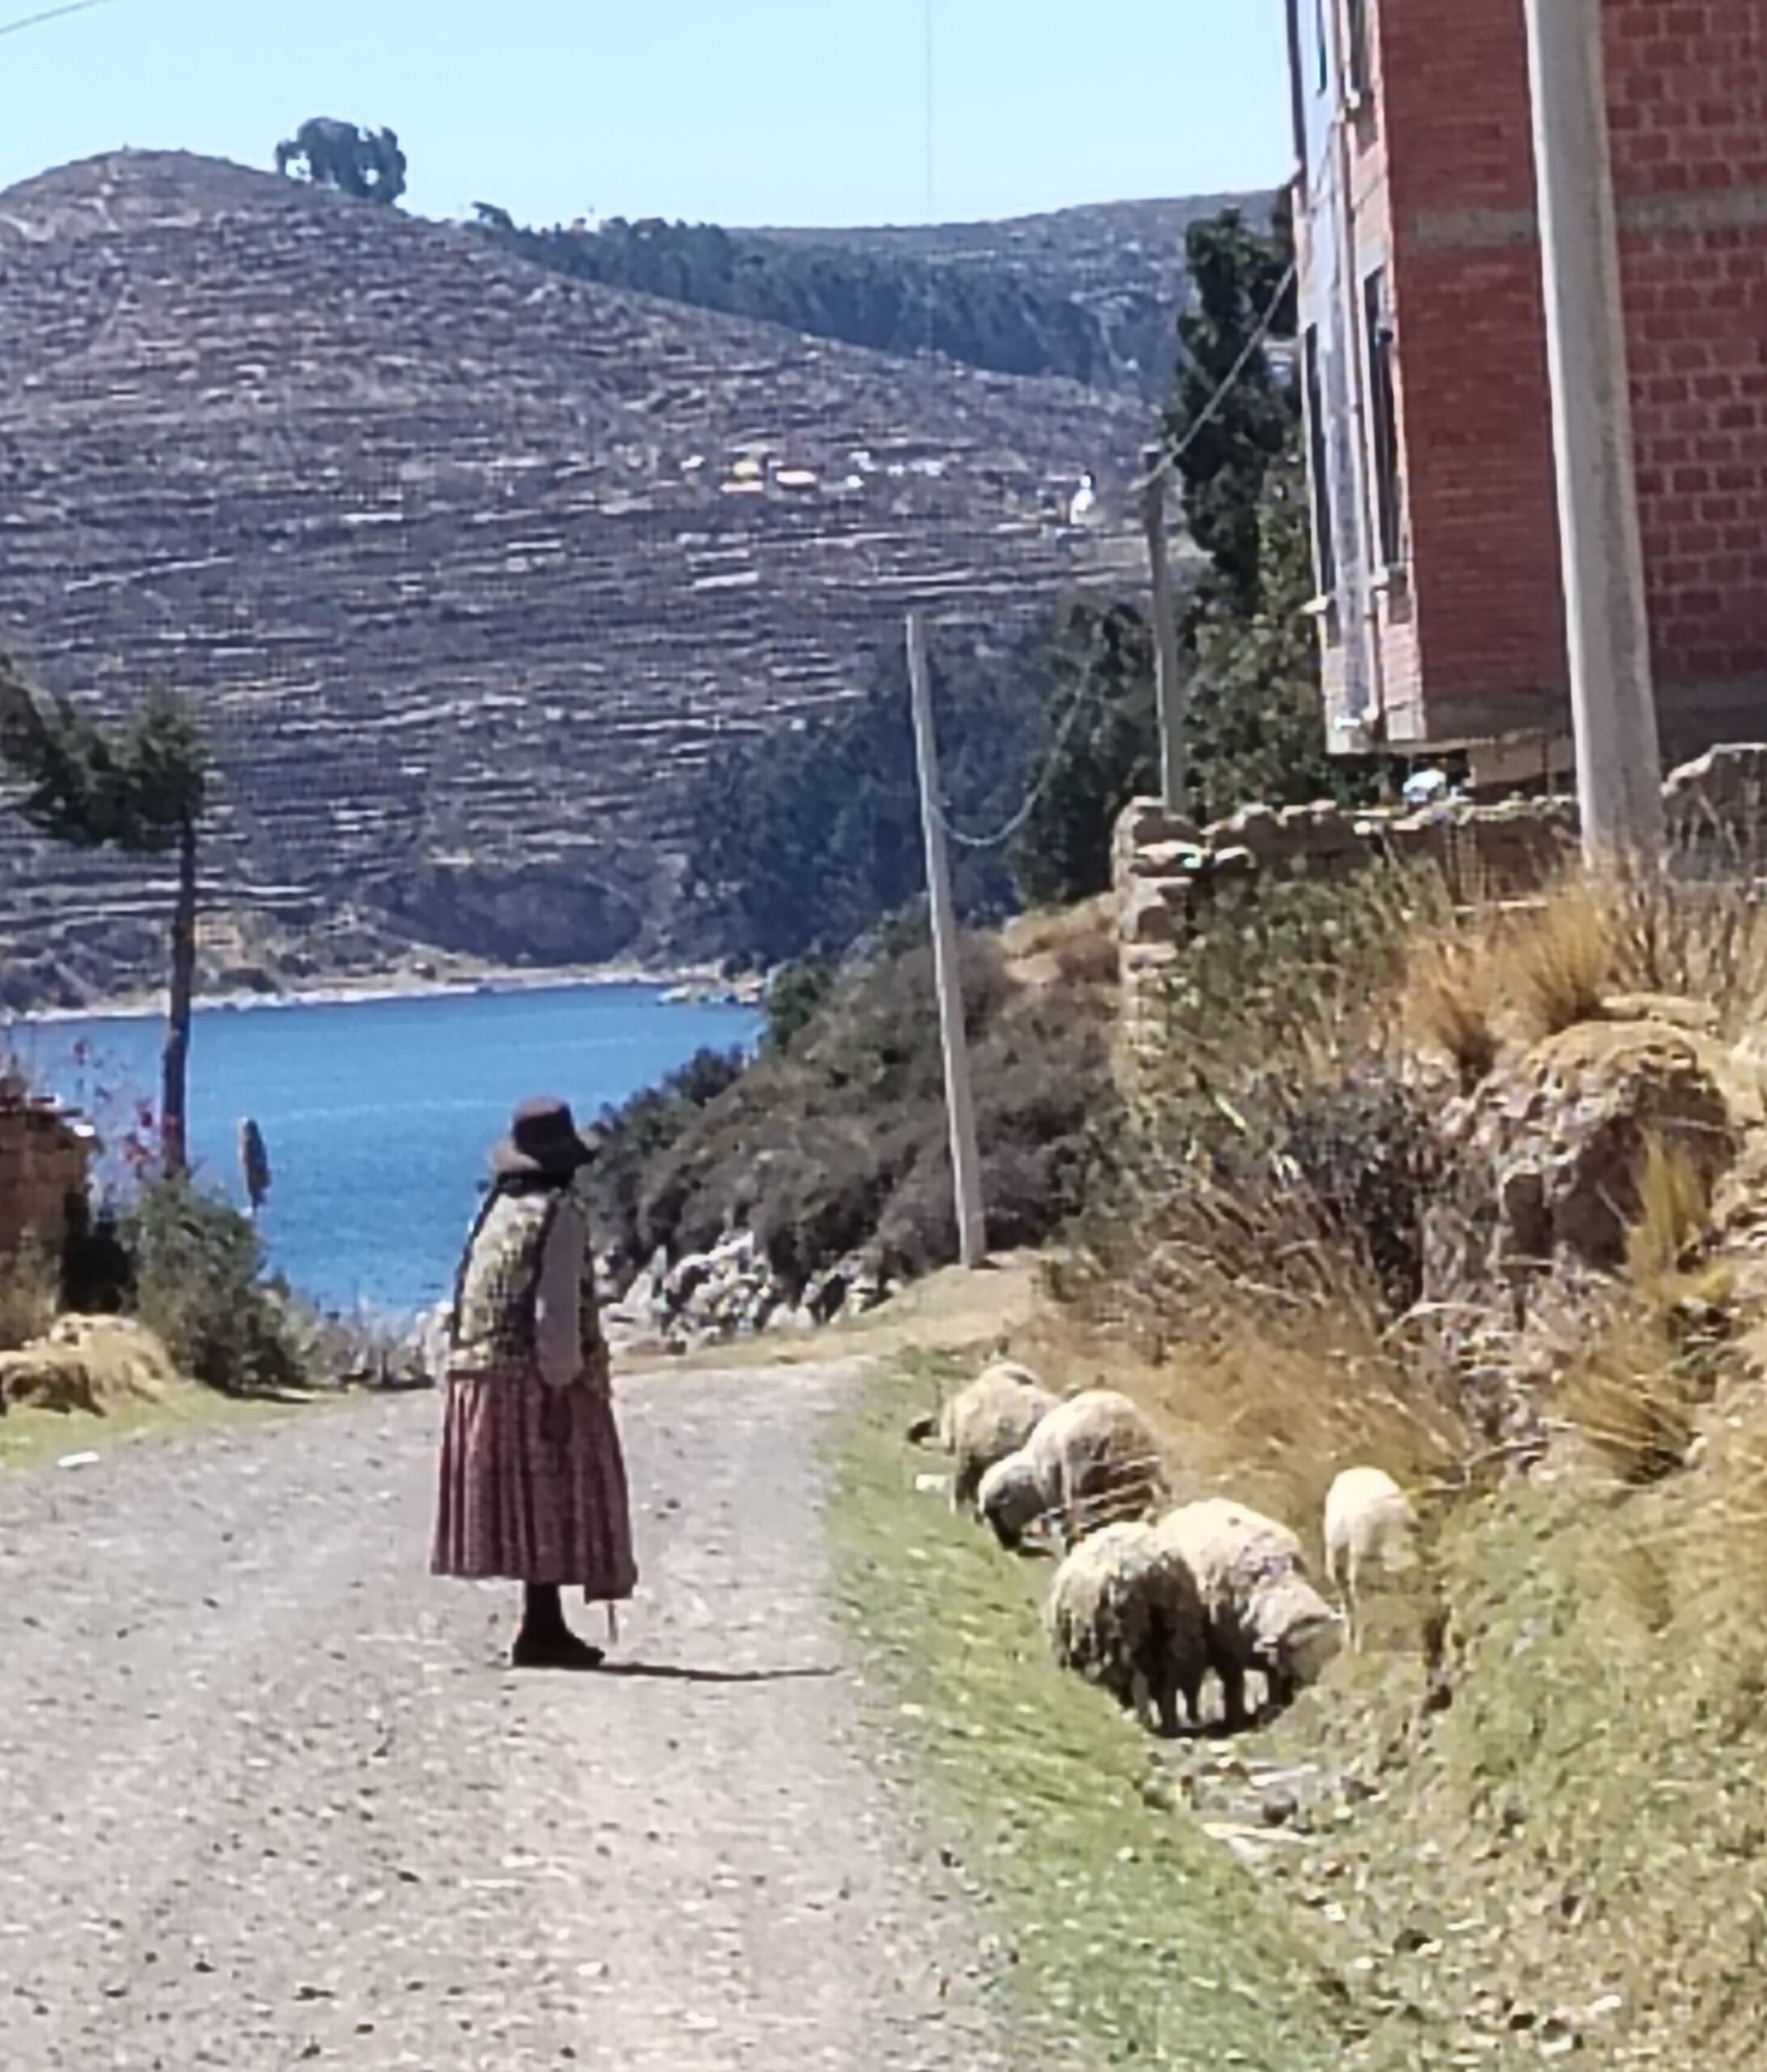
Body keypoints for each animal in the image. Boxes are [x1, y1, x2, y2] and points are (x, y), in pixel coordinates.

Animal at [1043, 1520, 1208, 1738]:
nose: (1195, 1716)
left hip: (1126, 1629)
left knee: (1135, 1673)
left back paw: (1146, 1719)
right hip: (1162, 1628)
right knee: (1159, 1677)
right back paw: (1162, 1722)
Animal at [1154, 1498, 1342, 1731]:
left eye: (1331, 1650)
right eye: (1293, 1649)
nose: (1312, 1688)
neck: (1273, 1581)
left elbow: (1274, 1676)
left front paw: (1278, 1706)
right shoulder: (1224, 1647)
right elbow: (1234, 1682)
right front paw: (1237, 1721)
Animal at [1323, 1467, 1421, 1653]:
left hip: (1334, 1542)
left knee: (1338, 1580)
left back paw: (1349, 1635)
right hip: (1354, 1545)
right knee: (1351, 1582)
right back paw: (1357, 1642)